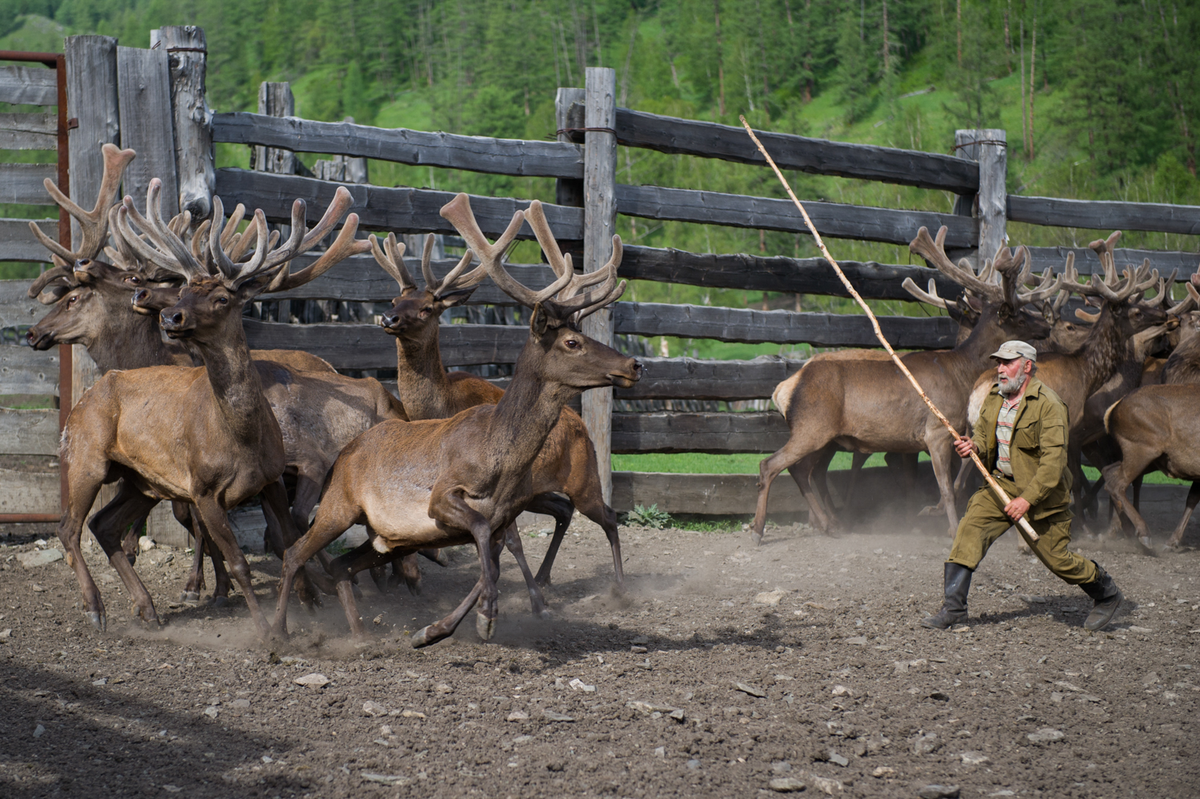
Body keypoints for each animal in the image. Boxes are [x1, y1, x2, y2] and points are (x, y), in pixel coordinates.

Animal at [56, 182, 364, 633]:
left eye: (221, 297)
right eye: (183, 290)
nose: (170, 315)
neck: (243, 438)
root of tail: (82, 399)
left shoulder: (272, 479)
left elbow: (290, 542)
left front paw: (307, 608)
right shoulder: (202, 490)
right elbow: (239, 563)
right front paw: (263, 629)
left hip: (139, 480)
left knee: (103, 525)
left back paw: (147, 608)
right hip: (86, 457)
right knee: (69, 528)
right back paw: (96, 608)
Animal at [369, 230, 624, 585]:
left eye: (427, 308)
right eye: (395, 301)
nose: (388, 318)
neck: (440, 407)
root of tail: (585, 428)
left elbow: (504, 541)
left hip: (583, 479)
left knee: (604, 516)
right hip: (539, 492)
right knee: (563, 510)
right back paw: (543, 577)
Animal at [753, 225, 1056, 542]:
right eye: (1019, 314)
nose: (1047, 324)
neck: (962, 373)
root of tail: (782, 390)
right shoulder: (936, 431)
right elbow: (945, 487)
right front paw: (950, 528)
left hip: (825, 438)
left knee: (804, 471)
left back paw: (829, 524)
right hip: (811, 426)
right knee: (772, 465)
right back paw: (760, 529)